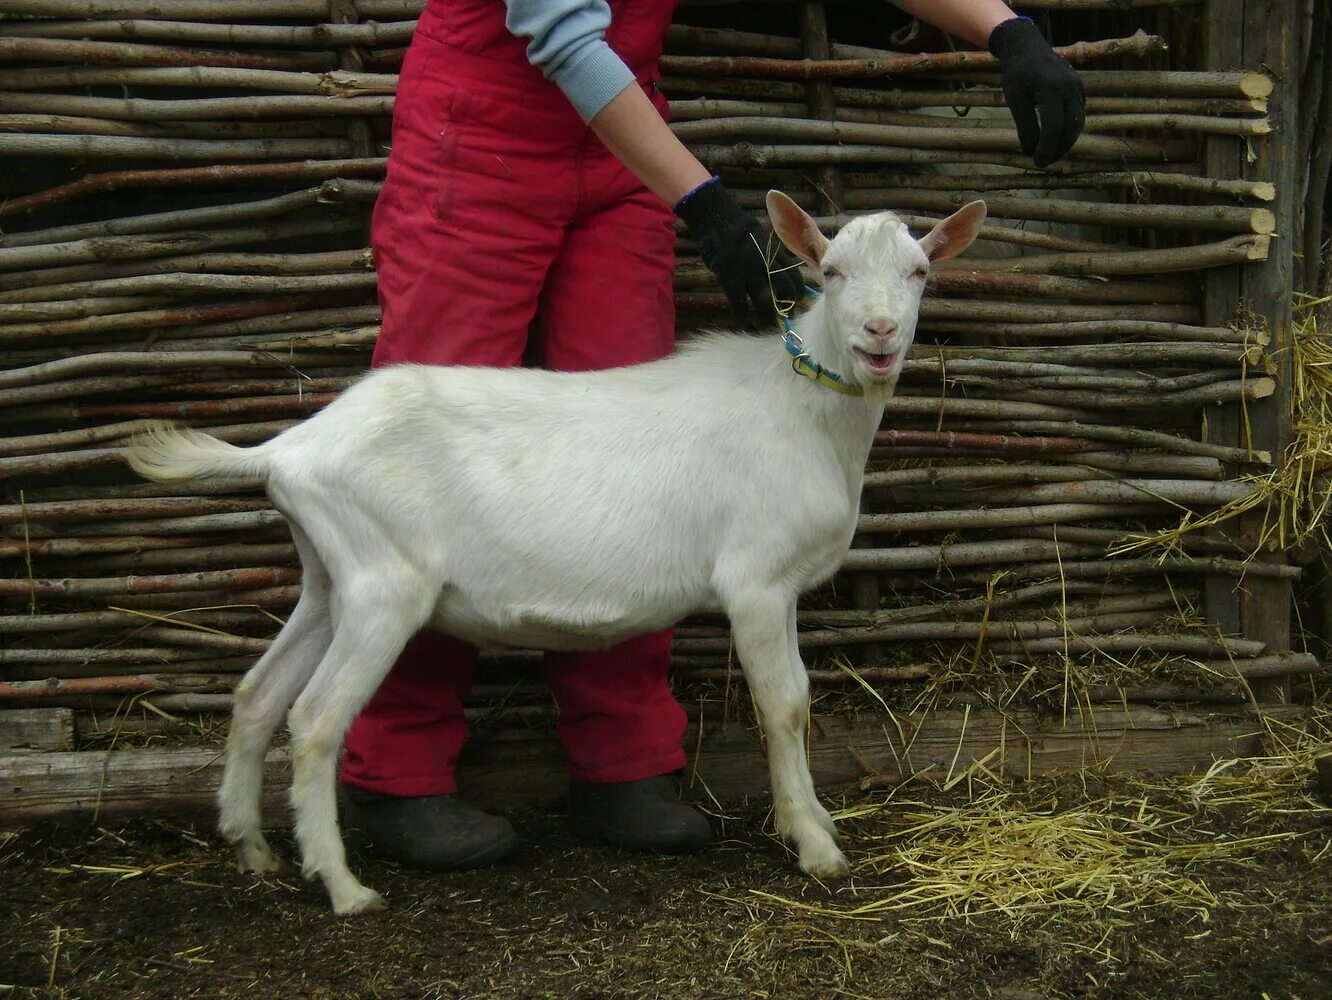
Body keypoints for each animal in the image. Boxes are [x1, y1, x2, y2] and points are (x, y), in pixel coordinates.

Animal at [125, 189, 985, 916]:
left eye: (919, 271)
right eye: (831, 271)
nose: (879, 335)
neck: (803, 410)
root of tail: (288, 450)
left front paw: (817, 823)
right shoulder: (756, 581)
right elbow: (787, 704)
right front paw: (812, 844)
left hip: (330, 577)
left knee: (257, 696)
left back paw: (253, 849)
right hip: (383, 584)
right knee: (313, 719)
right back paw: (342, 886)